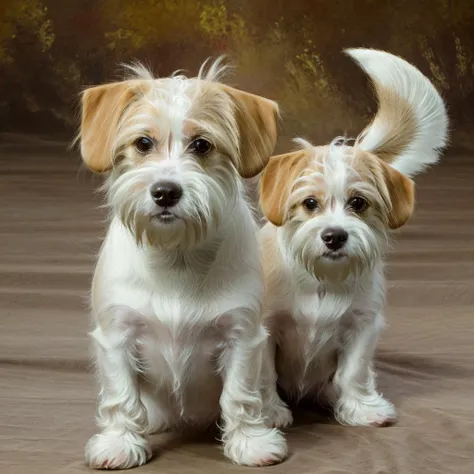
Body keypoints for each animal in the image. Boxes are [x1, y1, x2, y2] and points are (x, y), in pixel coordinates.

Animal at [77, 60, 286, 470]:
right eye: (143, 143)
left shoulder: (242, 335)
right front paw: (120, 443)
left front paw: (250, 442)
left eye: (202, 145)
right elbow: (121, 398)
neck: (177, 254)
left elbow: (240, 396)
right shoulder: (117, 336)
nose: (165, 192)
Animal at [260, 50, 448, 428]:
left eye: (358, 203)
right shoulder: (266, 327)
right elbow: (265, 373)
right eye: (310, 203)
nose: (334, 236)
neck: (322, 280)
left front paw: (361, 407)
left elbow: (353, 372)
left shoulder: (362, 325)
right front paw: (271, 411)